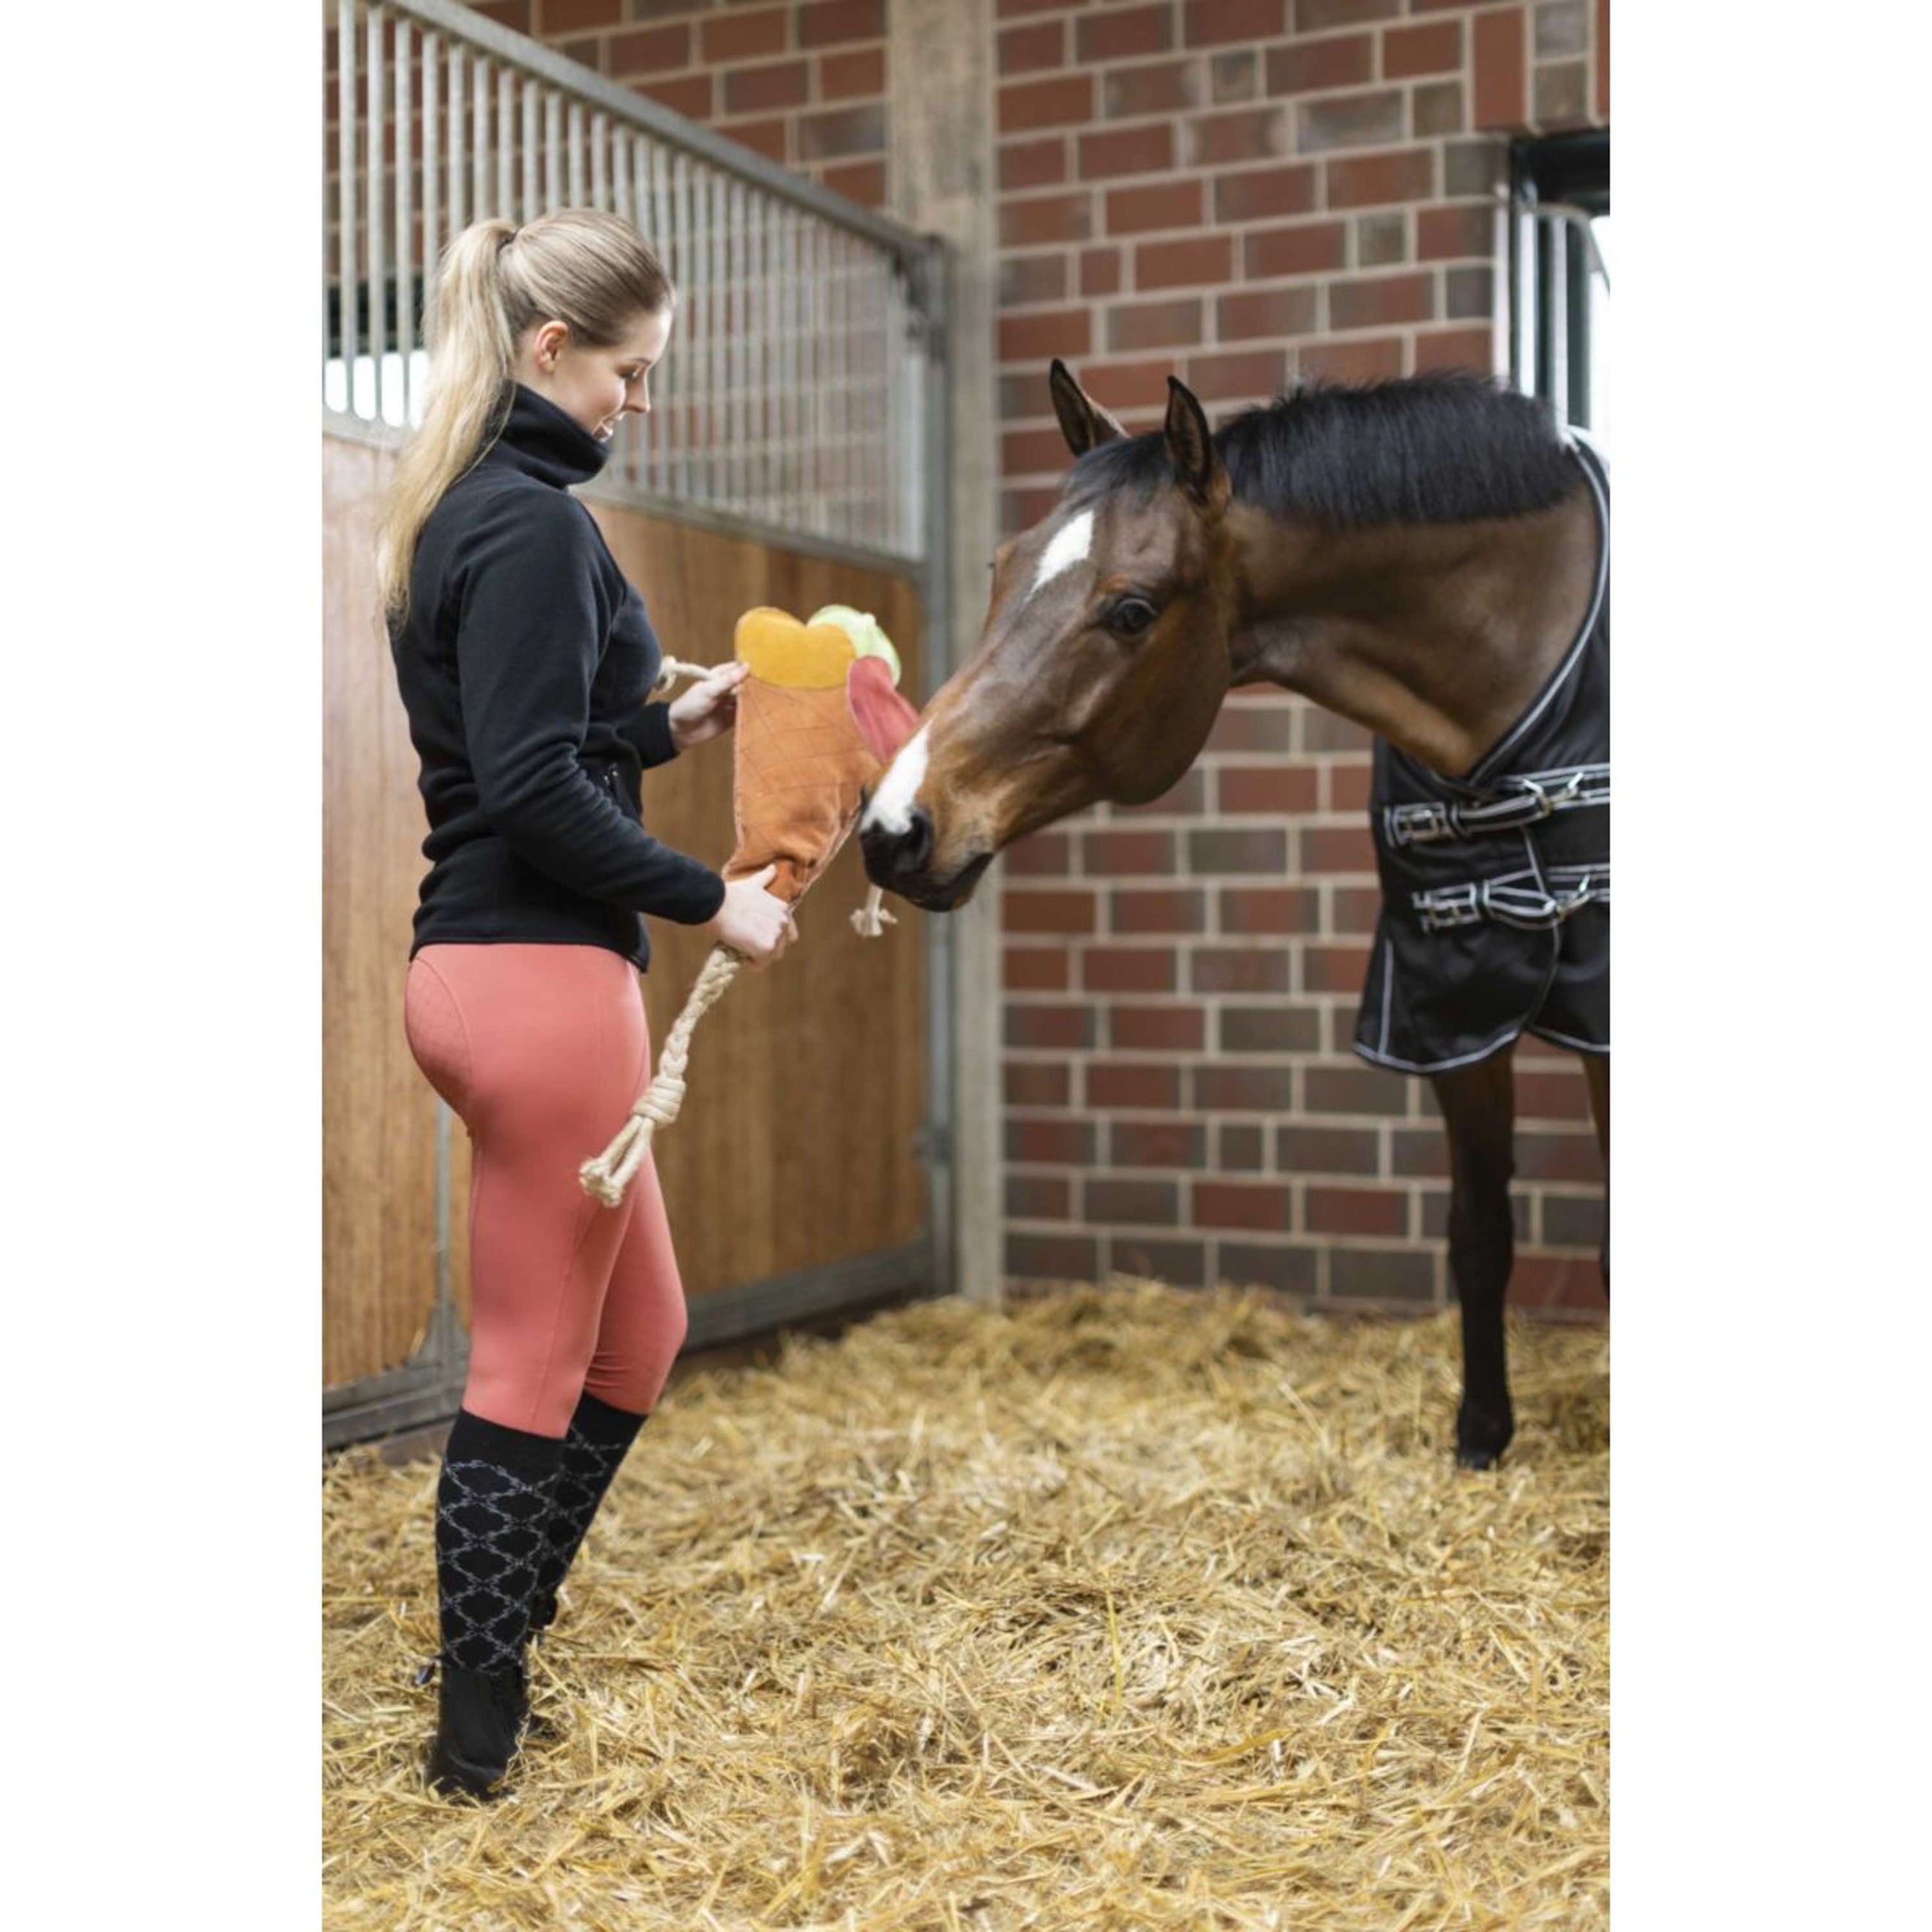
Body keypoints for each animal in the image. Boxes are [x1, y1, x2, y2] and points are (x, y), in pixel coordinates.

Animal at [860, 360, 1609, 1469]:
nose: (893, 827)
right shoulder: (1449, 995)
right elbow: (1478, 1233)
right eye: (1001, 568)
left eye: (1132, 611)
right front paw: (1481, 1439)